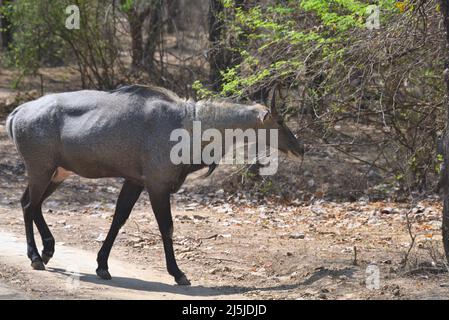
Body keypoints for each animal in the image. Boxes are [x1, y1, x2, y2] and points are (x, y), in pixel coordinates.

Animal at [5, 85, 302, 284]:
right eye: (280, 121)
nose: (300, 148)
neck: (189, 123)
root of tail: (18, 112)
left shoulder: (135, 181)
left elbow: (119, 219)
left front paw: (102, 266)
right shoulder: (157, 185)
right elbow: (166, 227)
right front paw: (179, 273)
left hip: (57, 174)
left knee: (28, 203)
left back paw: (47, 251)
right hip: (41, 169)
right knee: (30, 205)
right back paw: (36, 257)